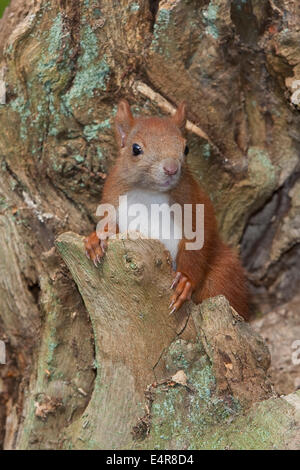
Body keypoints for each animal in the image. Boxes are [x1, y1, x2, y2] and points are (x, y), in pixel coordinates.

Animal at [84, 99, 248, 320]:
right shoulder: (113, 200)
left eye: (186, 148)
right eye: (135, 148)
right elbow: (109, 225)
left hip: (223, 276)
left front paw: (185, 281)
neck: (149, 194)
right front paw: (96, 239)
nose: (171, 168)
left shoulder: (194, 205)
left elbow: (198, 241)